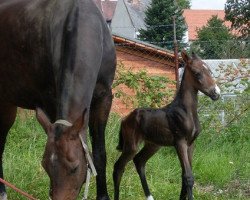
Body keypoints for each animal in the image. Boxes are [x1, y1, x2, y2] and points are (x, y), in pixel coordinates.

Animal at [113, 50, 221, 200]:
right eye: (196, 73)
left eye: (210, 70)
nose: (216, 93)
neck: (186, 111)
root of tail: (124, 119)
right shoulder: (180, 142)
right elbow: (188, 177)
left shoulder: (191, 144)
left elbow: (185, 175)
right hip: (131, 145)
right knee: (118, 167)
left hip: (153, 145)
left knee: (139, 161)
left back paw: (150, 196)